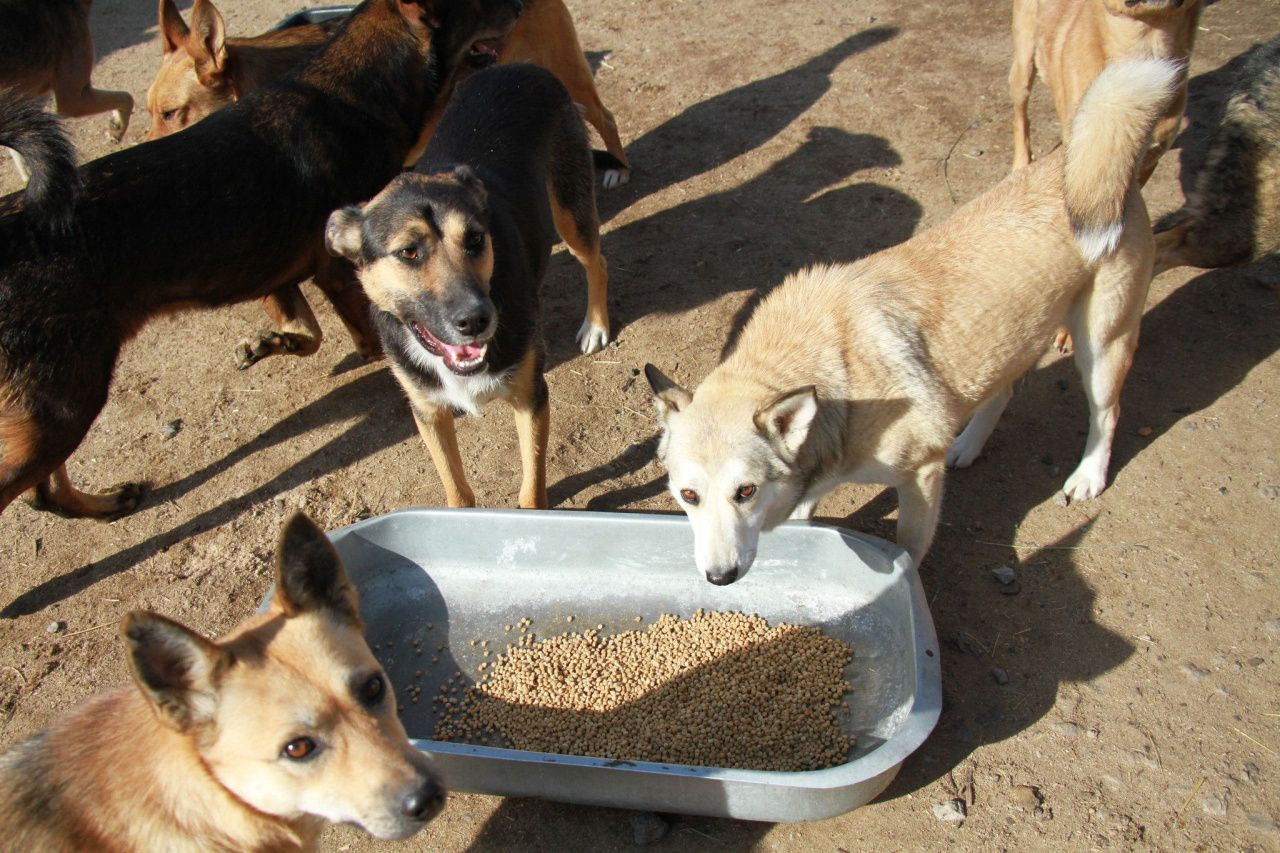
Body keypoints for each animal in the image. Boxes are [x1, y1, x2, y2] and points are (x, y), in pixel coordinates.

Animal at [0, 0, 524, 517]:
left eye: (170, 112)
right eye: (478, 2)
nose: (521, 7)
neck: (349, 91)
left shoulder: (275, 272)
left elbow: (306, 332)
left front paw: (272, 343)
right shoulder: (338, 271)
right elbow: (361, 334)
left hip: (55, 407)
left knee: (44, 492)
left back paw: (103, 503)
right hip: (62, 408)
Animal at [327, 64, 611, 512]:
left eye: (475, 239)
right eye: (408, 251)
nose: (476, 320)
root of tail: (525, 67)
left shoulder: (531, 396)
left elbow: (532, 488)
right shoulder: (427, 411)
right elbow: (457, 490)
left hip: (571, 210)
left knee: (595, 261)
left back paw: (596, 326)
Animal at [650, 56, 1177, 581]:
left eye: (746, 491)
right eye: (688, 496)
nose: (720, 577)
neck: (835, 381)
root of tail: (1079, 161)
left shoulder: (920, 475)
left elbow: (907, 549)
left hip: (1102, 347)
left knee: (1106, 413)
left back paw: (1087, 476)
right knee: (1002, 392)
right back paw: (968, 445)